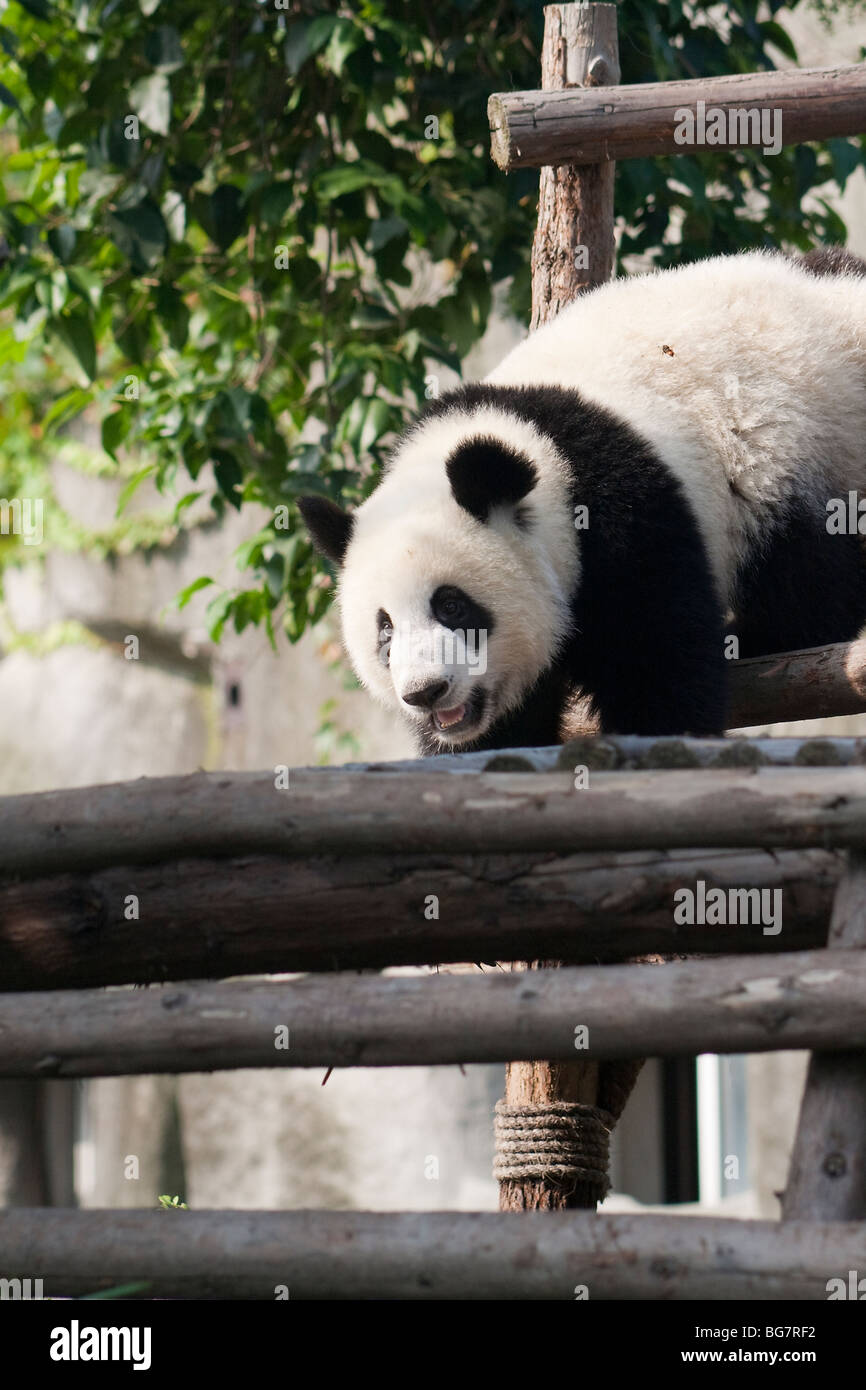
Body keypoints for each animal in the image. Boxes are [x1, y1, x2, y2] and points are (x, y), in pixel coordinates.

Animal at [296, 247, 866, 750]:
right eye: (384, 629)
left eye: (452, 605)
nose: (426, 692)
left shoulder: (629, 518)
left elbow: (658, 662)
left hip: (802, 449)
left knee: (805, 572)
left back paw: (757, 636)